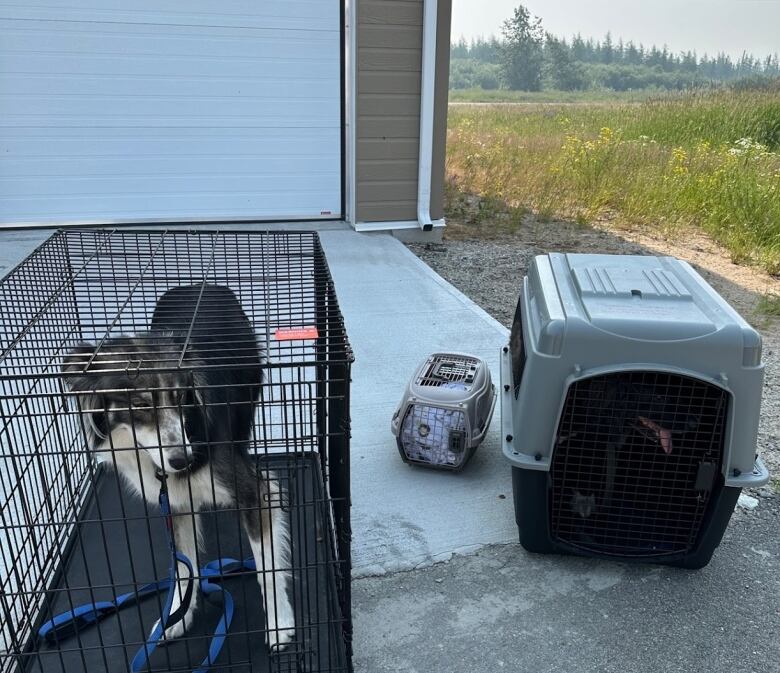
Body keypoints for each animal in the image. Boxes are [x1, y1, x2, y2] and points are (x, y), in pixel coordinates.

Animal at [63, 284, 296, 652]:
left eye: (180, 397)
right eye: (139, 404)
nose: (183, 461)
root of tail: (202, 285)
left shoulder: (254, 490)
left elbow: (267, 568)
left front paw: (279, 623)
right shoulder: (171, 499)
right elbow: (183, 566)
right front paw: (177, 615)